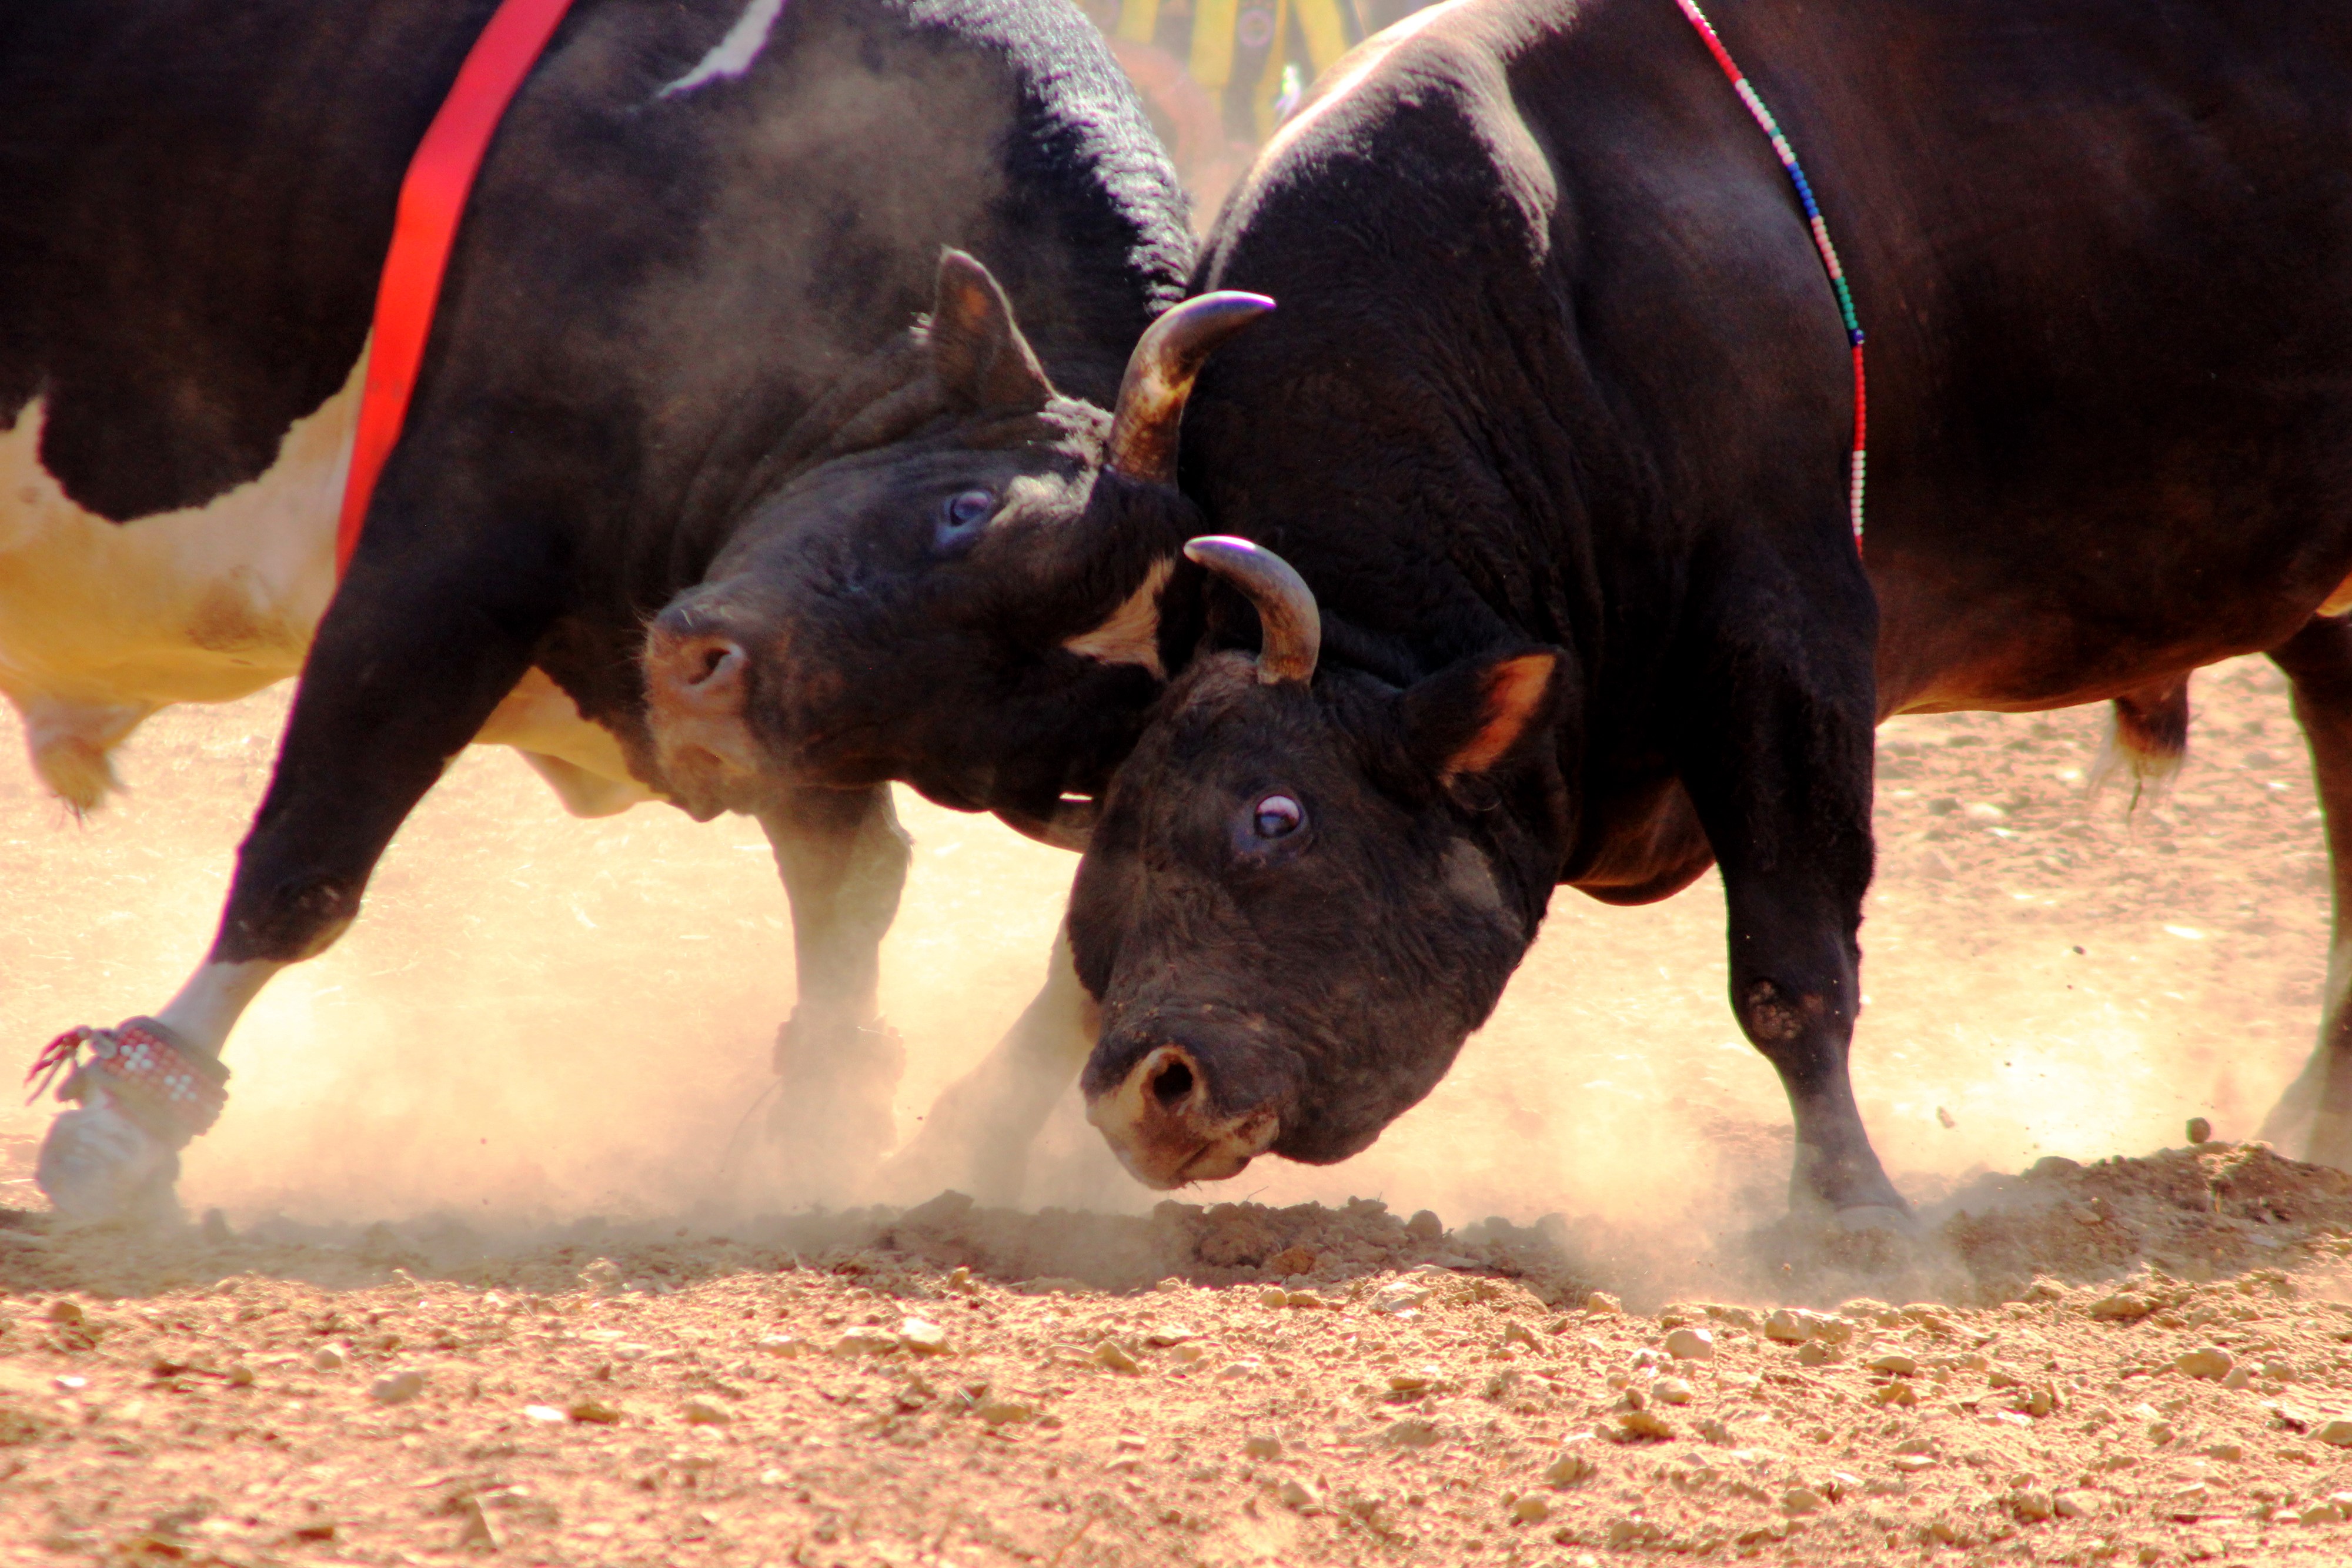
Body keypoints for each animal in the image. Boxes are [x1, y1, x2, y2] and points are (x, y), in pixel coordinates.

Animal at [4, 0, 1270, 1222]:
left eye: (991, 739)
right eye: (965, 511)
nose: (708, 678)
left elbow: (854, 880)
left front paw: (818, 1122)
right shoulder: (451, 554)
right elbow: (308, 855)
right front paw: (134, 1115)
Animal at [687, 0, 2352, 1222]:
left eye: (1276, 819)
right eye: (1118, 820)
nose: (1145, 1088)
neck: (1550, 300)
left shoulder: (1786, 630)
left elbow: (1792, 960)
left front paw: (1852, 1212)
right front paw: (969, 1135)